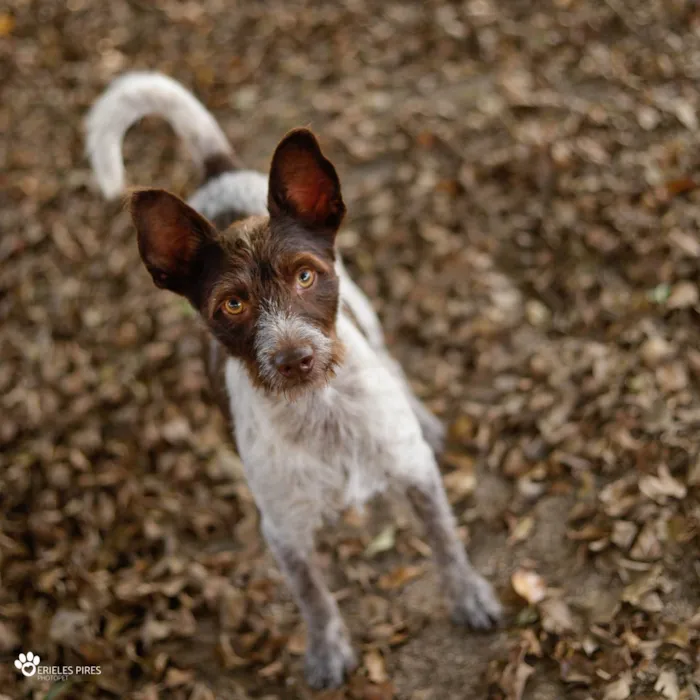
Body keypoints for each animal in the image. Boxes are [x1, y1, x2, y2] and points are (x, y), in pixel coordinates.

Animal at [86, 72, 504, 688]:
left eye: (305, 276)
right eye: (232, 304)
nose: (294, 359)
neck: (320, 409)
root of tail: (219, 174)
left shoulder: (416, 475)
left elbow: (446, 541)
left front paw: (468, 595)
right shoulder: (283, 534)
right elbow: (314, 597)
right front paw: (327, 649)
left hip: (366, 311)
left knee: (393, 361)